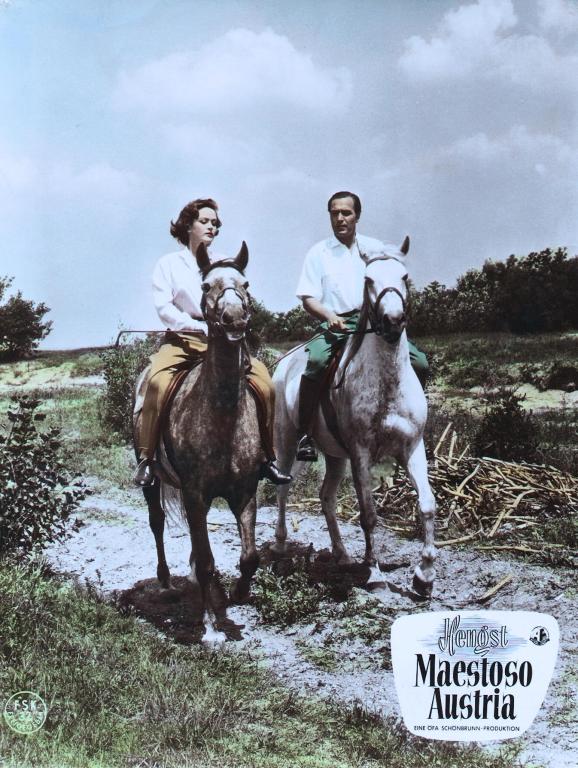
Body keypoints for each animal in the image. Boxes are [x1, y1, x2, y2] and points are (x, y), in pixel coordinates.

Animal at [272, 237, 434, 596]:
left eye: (404, 276)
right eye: (368, 279)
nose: (392, 321)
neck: (387, 382)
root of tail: (283, 365)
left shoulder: (413, 448)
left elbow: (427, 505)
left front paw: (425, 576)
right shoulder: (361, 453)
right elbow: (368, 514)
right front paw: (374, 573)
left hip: (335, 457)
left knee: (326, 497)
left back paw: (342, 555)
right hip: (287, 445)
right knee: (282, 492)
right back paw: (279, 550)